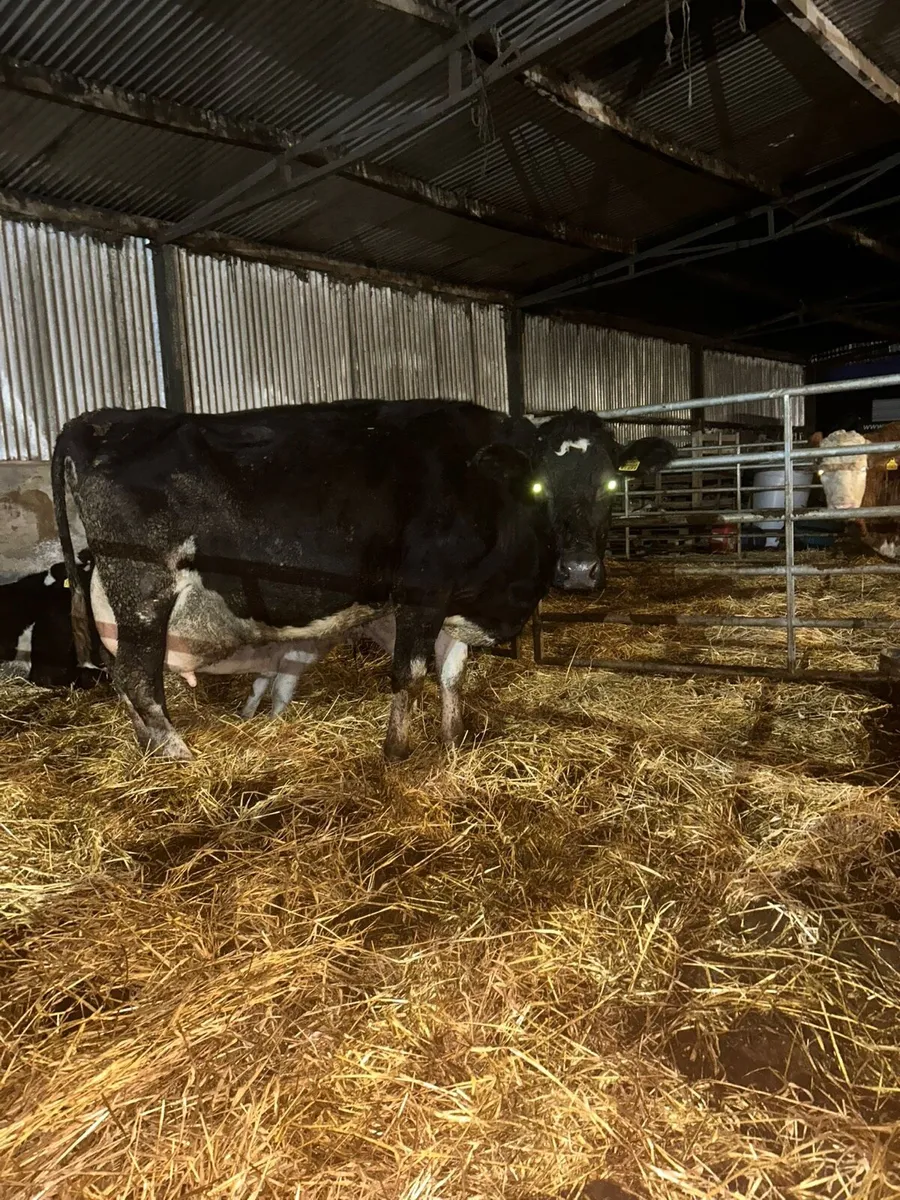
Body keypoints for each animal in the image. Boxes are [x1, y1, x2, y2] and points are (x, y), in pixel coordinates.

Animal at [52, 400, 675, 761]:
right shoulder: (422, 590)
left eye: (613, 484)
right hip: (142, 586)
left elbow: (451, 674)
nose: (578, 572)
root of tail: (104, 418)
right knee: (137, 678)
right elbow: (410, 672)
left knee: (126, 681)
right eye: (540, 484)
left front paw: (452, 742)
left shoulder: (454, 601)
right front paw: (396, 752)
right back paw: (178, 754)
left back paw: (149, 750)